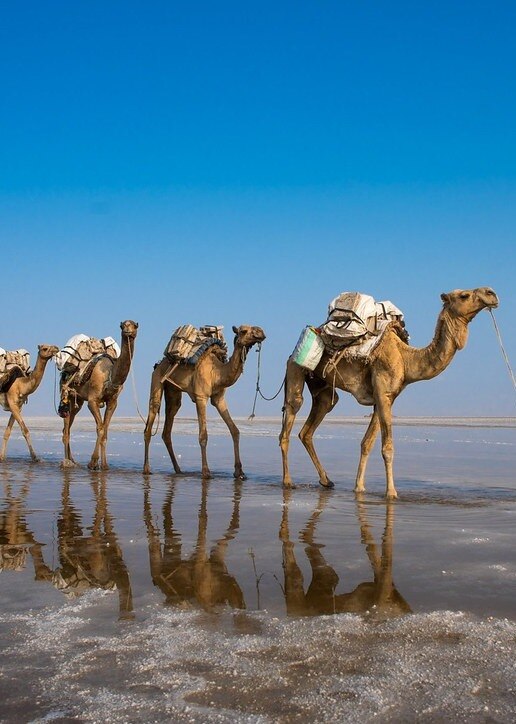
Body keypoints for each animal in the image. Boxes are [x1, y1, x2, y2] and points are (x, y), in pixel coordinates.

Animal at [60, 320, 138, 470]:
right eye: (122, 326)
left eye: (135, 325)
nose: (128, 331)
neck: (110, 374)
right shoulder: (92, 401)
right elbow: (100, 429)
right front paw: (93, 462)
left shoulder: (112, 402)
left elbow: (105, 430)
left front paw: (105, 465)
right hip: (68, 394)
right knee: (66, 428)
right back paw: (66, 462)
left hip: (78, 400)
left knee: (68, 425)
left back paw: (72, 460)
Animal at [143, 324, 266, 478]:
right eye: (243, 331)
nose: (261, 332)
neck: (217, 374)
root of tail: (158, 364)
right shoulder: (201, 397)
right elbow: (203, 436)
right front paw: (206, 472)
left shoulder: (219, 398)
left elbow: (235, 431)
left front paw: (239, 472)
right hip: (156, 381)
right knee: (150, 420)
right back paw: (147, 469)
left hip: (173, 391)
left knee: (168, 427)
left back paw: (178, 469)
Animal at [280, 287, 499, 498]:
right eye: (464, 295)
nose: (492, 293)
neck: (406, 358)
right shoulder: (383, 392)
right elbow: (387, 447)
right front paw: (391, 493)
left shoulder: (384, 398)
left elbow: (367, 443)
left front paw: (359, 487)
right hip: (295, 369)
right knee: (290, 416)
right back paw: (288, 482)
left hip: (322, 386)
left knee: (313, 422)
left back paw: (326, 481)